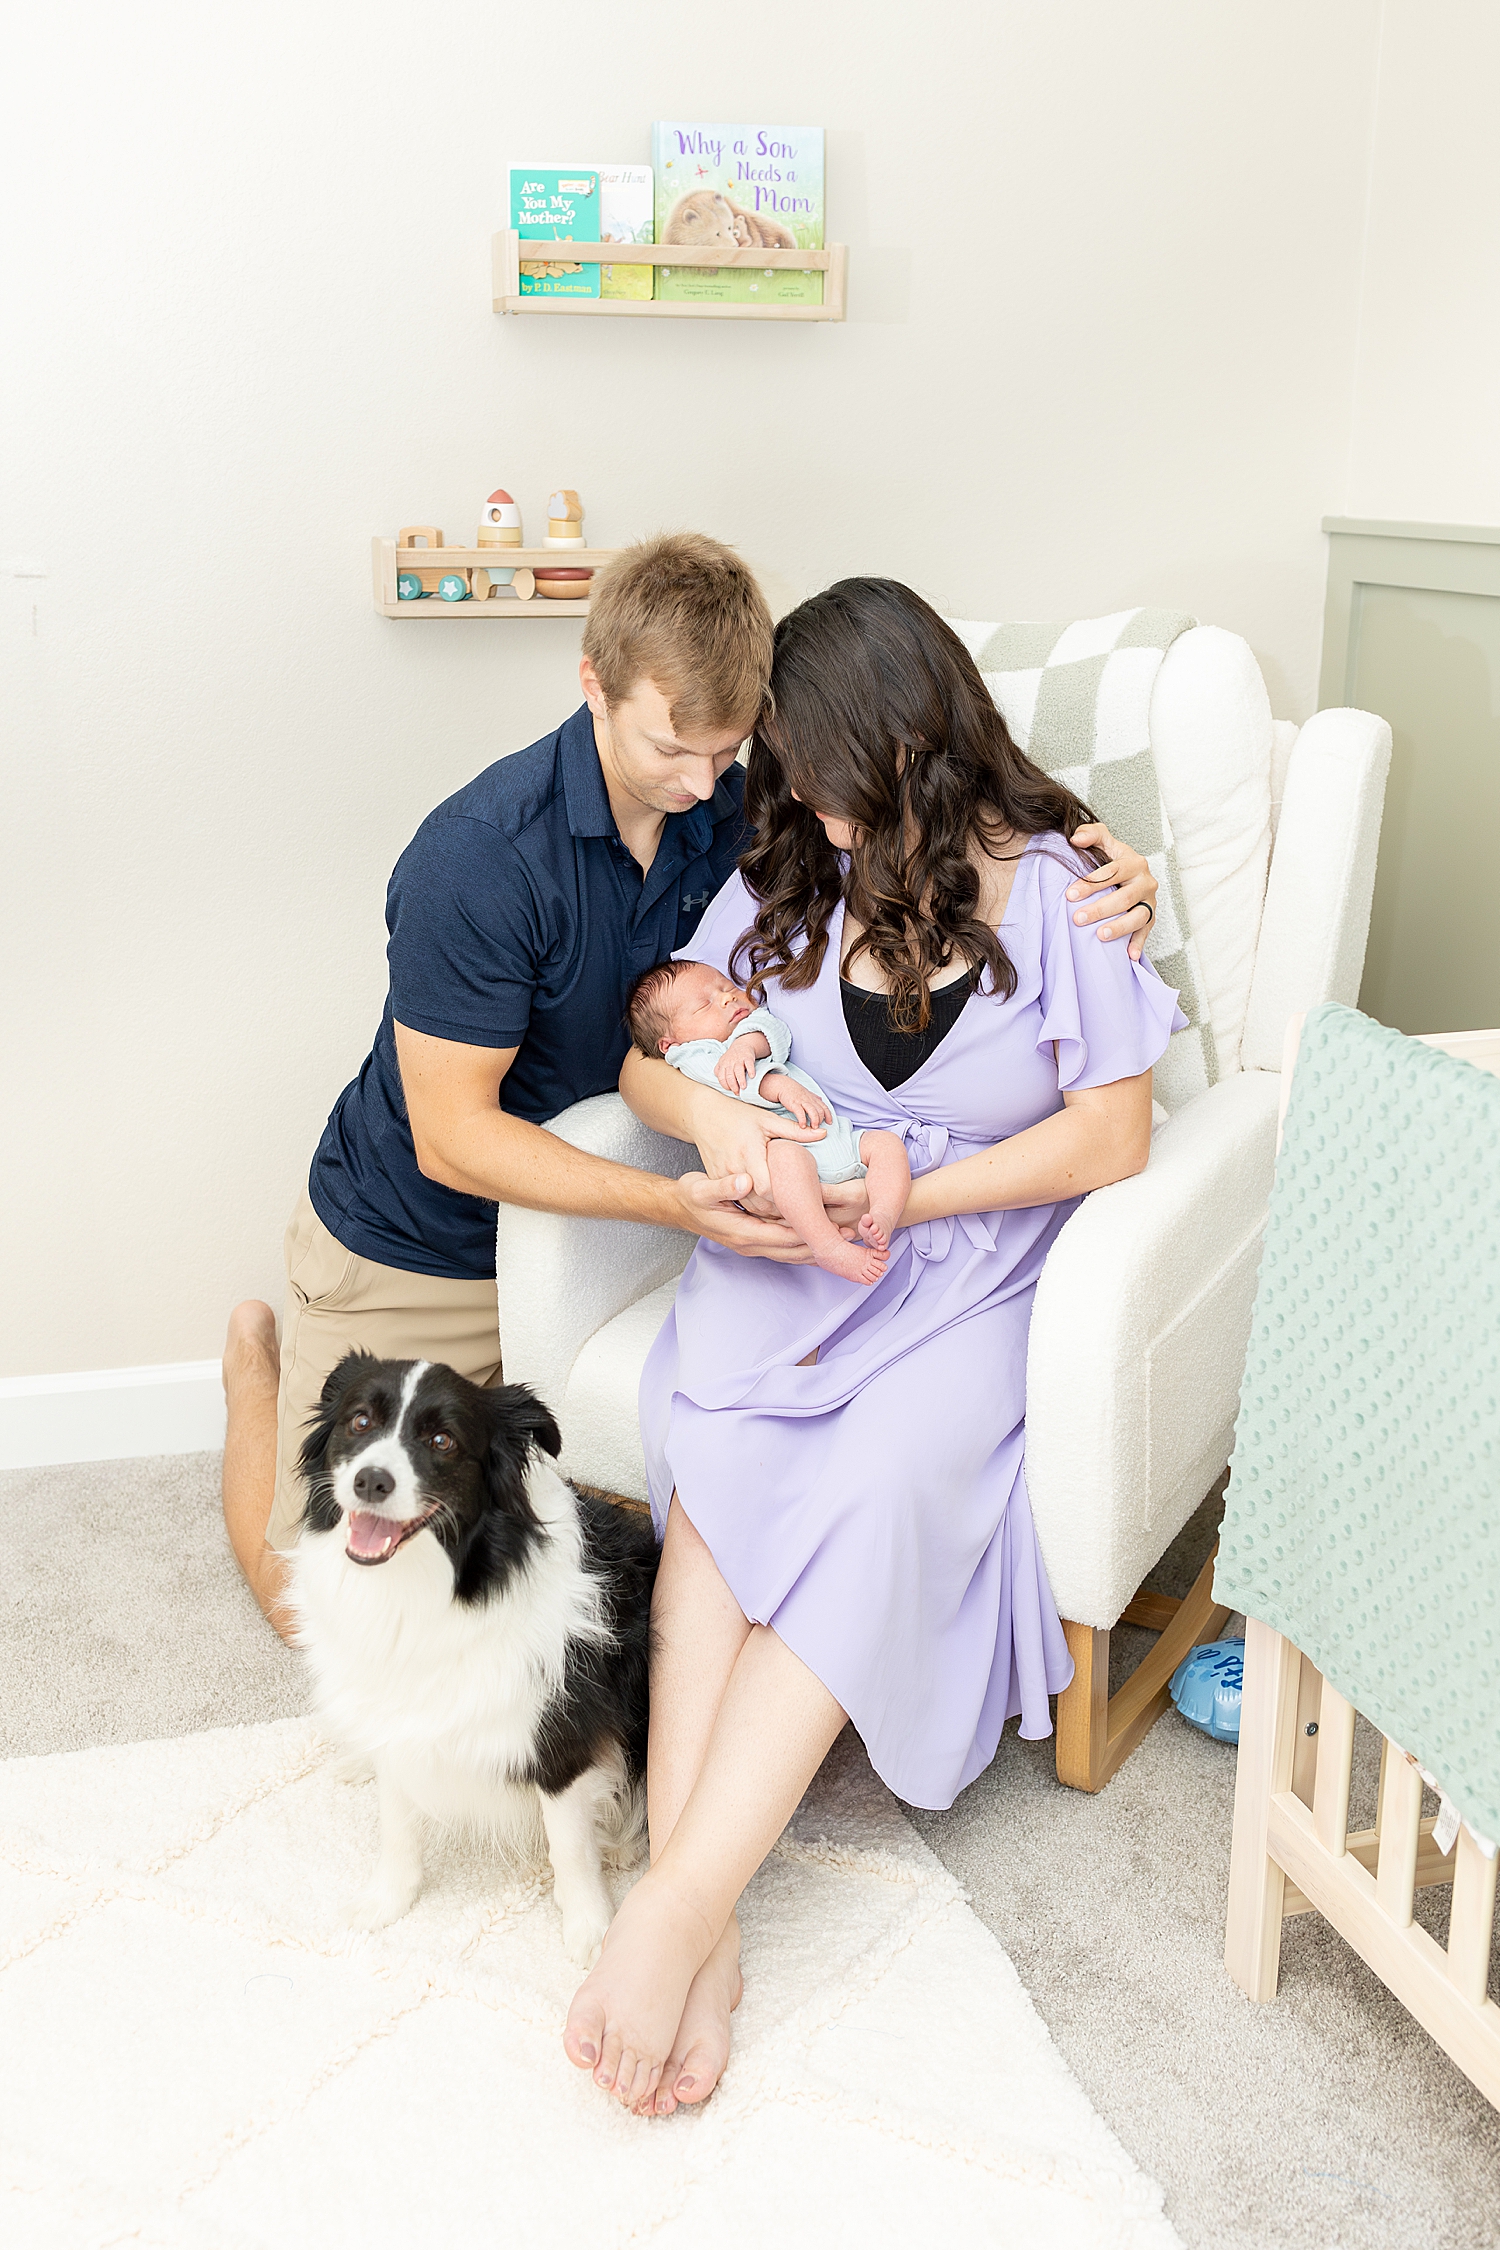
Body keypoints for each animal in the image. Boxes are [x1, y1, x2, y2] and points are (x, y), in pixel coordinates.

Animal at [287, 1341, 656, 1962]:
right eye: (359, 1422)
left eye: (443, 1441)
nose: (370, 1482)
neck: (427, 1589)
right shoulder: (396, 1721)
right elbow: (396, 1824)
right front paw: (387, 1901)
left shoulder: (558, 1738)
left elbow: (569, 1844)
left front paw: (590, 1929)